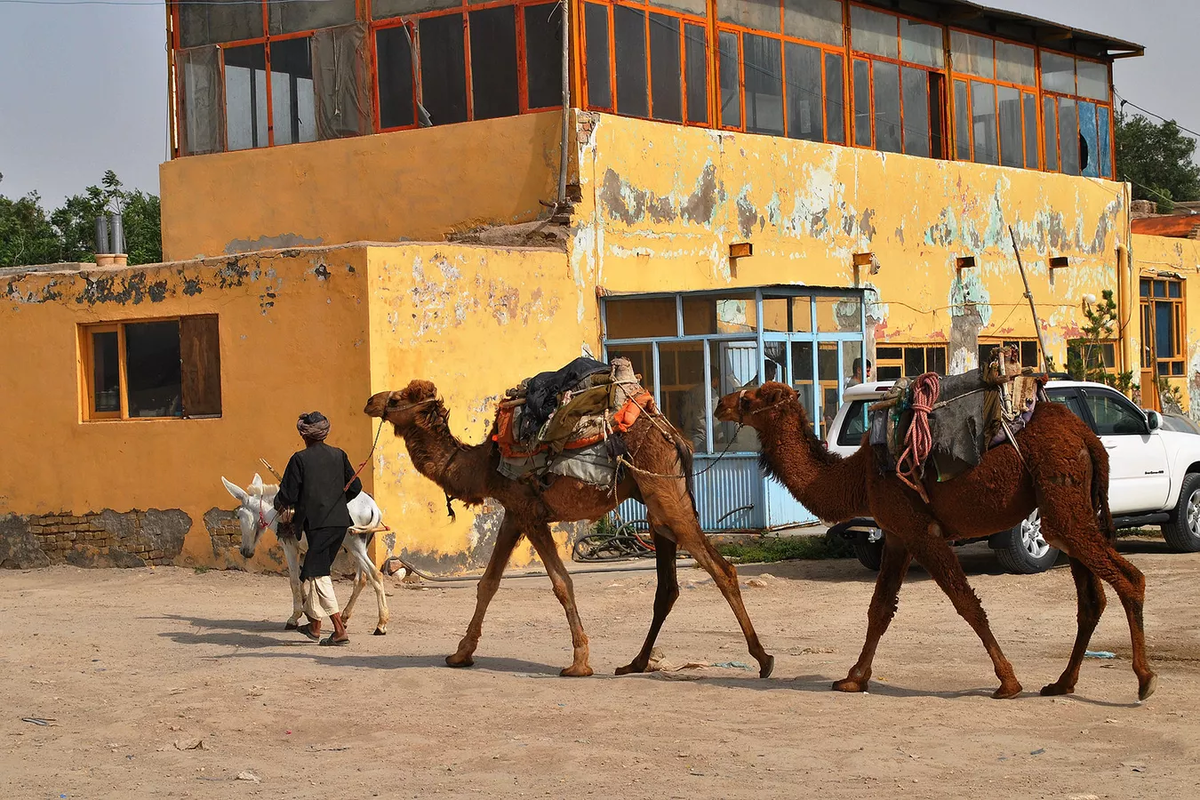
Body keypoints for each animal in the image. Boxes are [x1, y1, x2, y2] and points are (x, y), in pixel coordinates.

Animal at [364, 379, 772, 681]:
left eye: (396, 398)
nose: (370, 400)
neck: (484, 465)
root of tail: (676, 438)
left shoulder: (528, 513)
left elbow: (561, 583)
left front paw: (578, 663)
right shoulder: (513, 514)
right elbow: (488, 583)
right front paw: (460, 653)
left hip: (664, 493)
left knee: (721, 568)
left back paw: (763, 659)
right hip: (655, 501)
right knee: (668, 587)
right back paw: (635, 663)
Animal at [715, 381, 1156, 700]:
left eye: (751, 397)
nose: (721, 403)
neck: (858, 476)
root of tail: (1088, 436)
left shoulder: (921, 532)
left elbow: (966, 604)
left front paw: (1008, 682)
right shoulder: (897, 535)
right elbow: (879, 609)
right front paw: (854, 678)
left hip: (1060, 500)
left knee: (1128, 577)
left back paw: (1144, 679)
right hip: (1068, 504)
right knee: (1091, 598)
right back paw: (1062, 683)